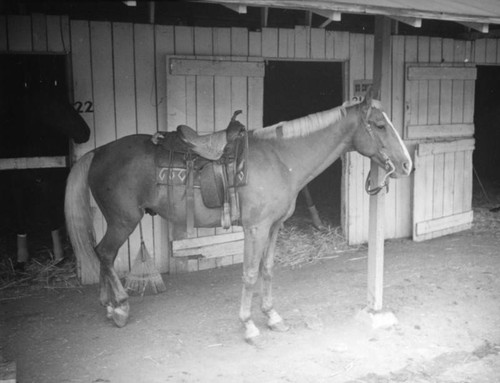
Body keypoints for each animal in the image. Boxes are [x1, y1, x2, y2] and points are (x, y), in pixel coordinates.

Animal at [64, 90, 412, 342]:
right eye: (380, 125)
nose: (407, 164)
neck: (281, 159)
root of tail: (99, 151)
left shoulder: (274, 227)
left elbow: (267, 270)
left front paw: (272, 316)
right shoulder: (255, 228)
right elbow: (249, 273)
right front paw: (248, 324)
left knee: (103, 255)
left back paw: (108, 306)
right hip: (123, 221)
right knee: (105, 254)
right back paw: (120, 308)